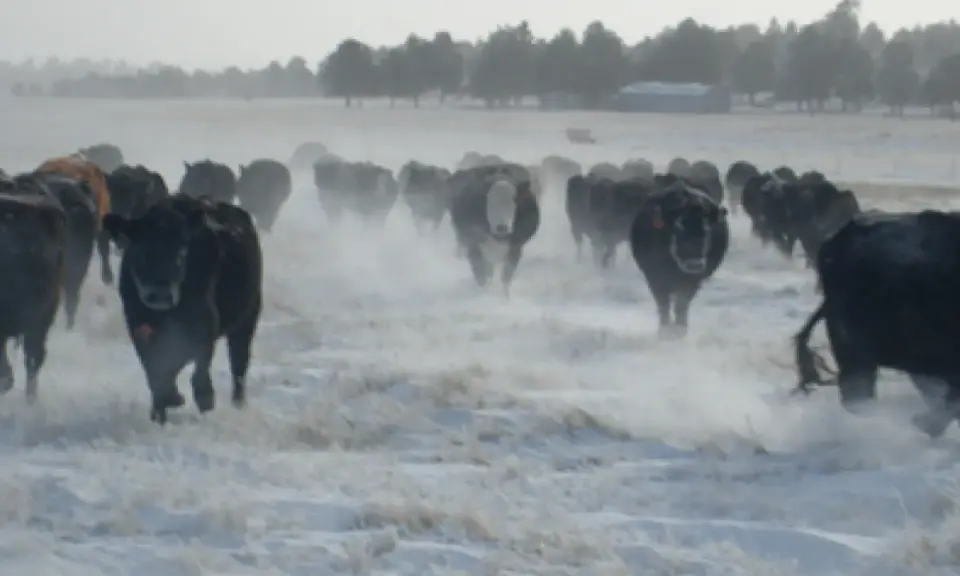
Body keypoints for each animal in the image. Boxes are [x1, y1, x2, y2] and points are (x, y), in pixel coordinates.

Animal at [102, 194, 263, 425]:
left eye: (181, 250)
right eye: (140, 251)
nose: (161, 294)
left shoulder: (204, 326)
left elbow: (191, 366)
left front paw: (199, 399)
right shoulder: (138, 327)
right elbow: (155, 369)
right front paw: (164, 405)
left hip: (247, 319)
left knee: (239, 363)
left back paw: (238, 404)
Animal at [629, 180, 729, 339]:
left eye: (707, 232)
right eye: (678, 229)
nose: (694, 265)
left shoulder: (694, 280)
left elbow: (682, 303)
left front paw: (680, 329)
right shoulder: (654, 277)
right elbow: (663, 303)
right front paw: (665, 330)